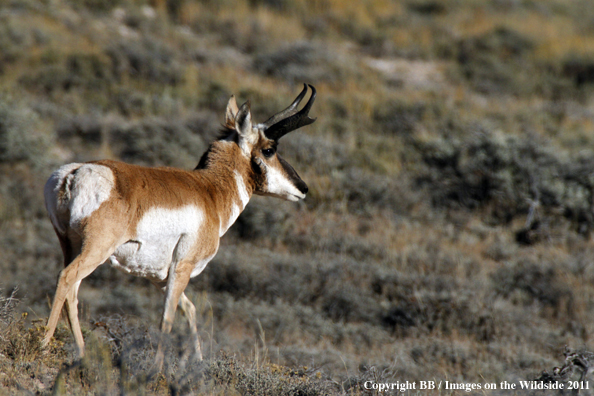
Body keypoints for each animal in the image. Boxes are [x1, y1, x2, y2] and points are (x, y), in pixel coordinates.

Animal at [42, 83, 314, 358]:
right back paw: (43, 346)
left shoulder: (159, 276)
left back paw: (82, 354)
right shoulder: (182, 267)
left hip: (71, 246)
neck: (209, 190)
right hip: (96, 250)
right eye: (269, 150)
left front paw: (198, 361)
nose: (303, 188)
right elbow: (167, 319)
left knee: (72, 292)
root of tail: (74, 173)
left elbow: (189, 310)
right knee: (66, 278)